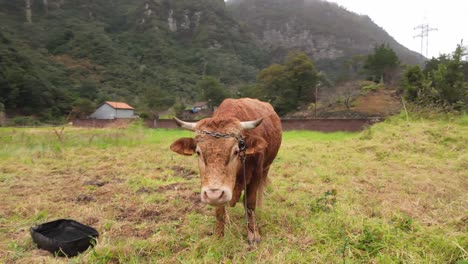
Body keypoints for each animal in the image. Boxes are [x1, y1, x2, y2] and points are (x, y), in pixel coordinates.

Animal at [171, 98, 282, 244]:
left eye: (236, 151)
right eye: (198, 152)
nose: (213, 195)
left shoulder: (256, 175)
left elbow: (250, 204)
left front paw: (253, 234)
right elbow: (219, 210)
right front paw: (219, 234)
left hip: (266, 168)